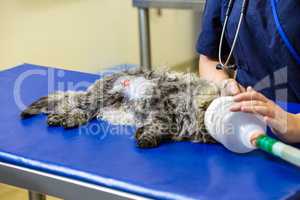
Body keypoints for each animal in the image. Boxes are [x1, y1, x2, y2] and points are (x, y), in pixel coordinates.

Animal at [21, 69, 220, 148]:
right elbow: (161, 124)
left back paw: (65, 119)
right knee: (73, 104)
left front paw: (143, 134)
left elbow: (161, 127)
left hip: (97, 106)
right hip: (99, 97)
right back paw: (58, 118)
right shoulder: (164, 105)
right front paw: (145, 138)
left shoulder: (170, 122)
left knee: (79, 110)